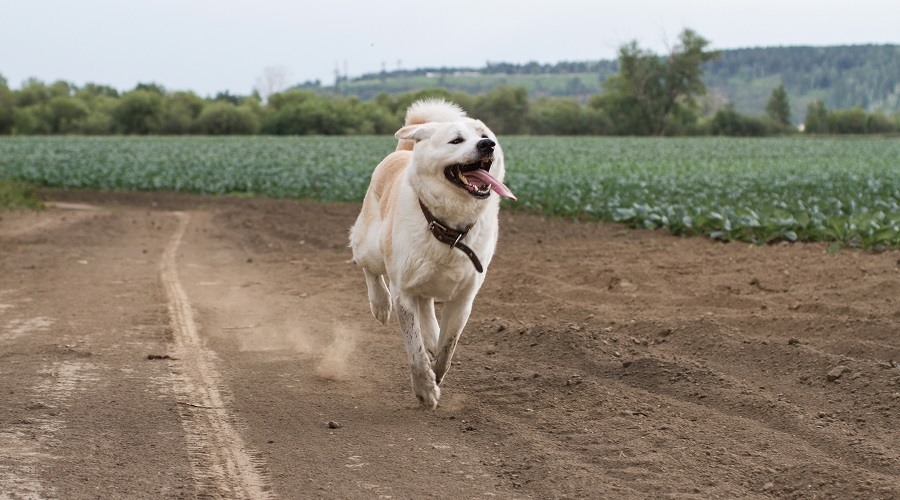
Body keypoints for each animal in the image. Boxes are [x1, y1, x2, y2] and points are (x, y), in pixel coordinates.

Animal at [348, 97, 512, 406]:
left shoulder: (464, 299)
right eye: (456, 140)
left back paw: (432, 337)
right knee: (367, 266)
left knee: (427, 312)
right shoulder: (403, 291)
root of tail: (403, 151)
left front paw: (436, 374)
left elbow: (448, 347)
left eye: (485, 135)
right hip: (371, 246)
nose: (488, 145)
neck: (450, 229)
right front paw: (425, 389)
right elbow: (415, 349)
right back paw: (380, 305)